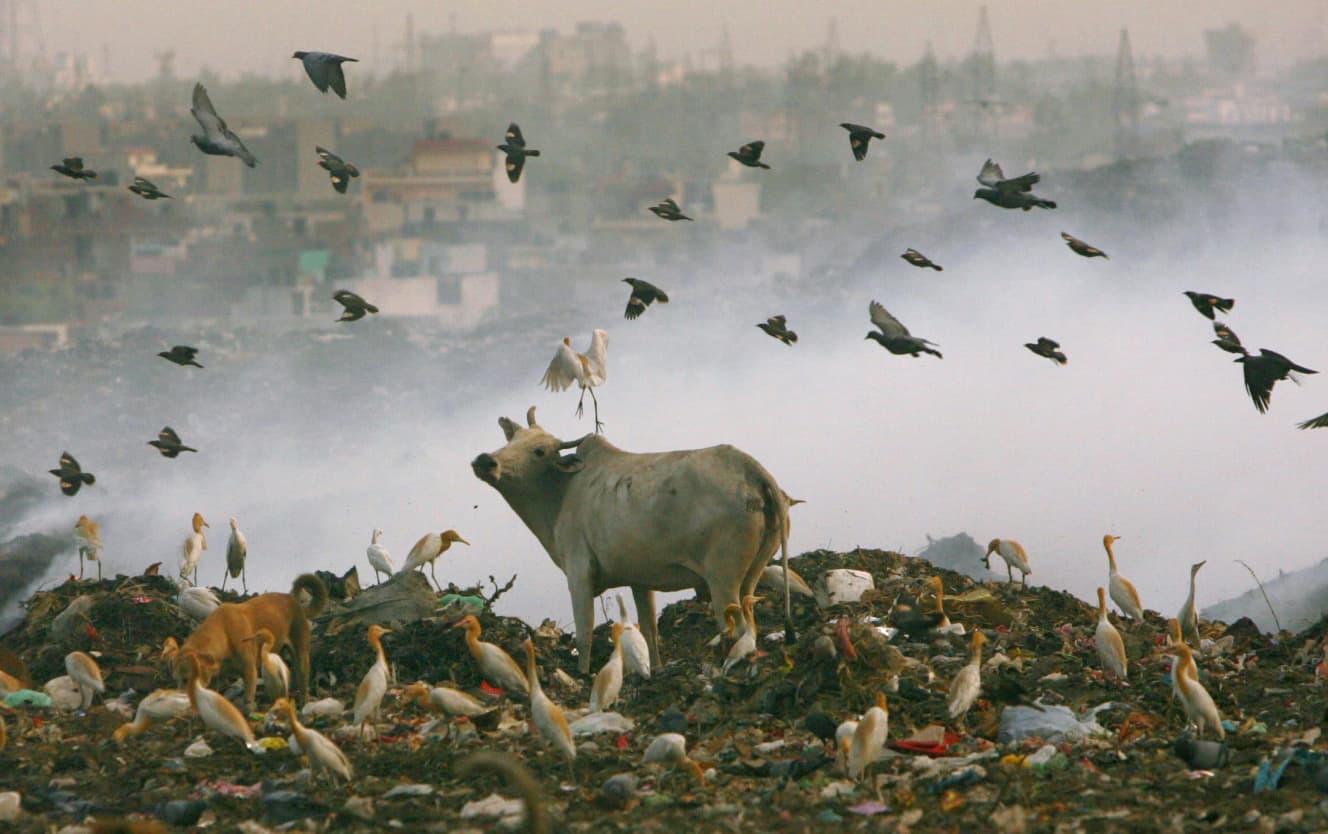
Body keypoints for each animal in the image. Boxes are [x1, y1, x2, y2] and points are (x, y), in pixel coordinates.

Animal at [161, 573, 326, 711]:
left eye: (186, 679)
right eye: (177, 680)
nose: (181, 702)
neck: (224, 633)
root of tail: (294, 601)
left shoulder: (250, 671)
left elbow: (248, 699)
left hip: (301, 652)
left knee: (303, 679)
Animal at [472, 406, 791, 674]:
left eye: (538, 451)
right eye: (511, 442)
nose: (486, 461)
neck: (560, 494)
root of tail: (751, 470)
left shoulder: (579, 570)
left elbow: (584, 632)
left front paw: (584, 674)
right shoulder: (641, 579)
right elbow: (649, 629)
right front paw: (656, 668)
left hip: (722, 577)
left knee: (736, 626)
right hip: (753, 571)